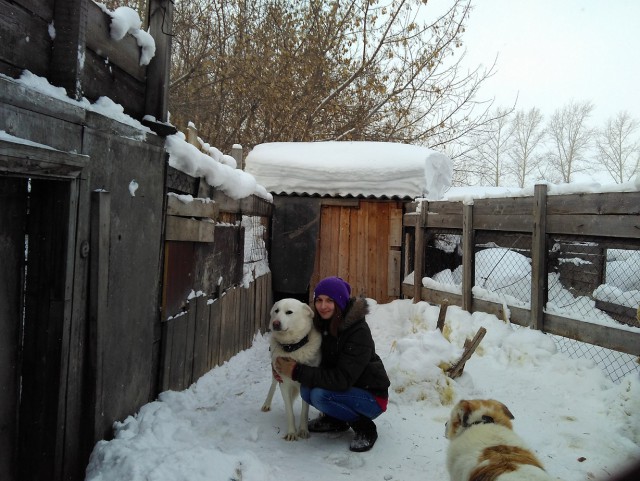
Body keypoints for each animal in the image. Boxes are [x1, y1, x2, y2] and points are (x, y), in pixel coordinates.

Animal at [260, 298, 320, 440]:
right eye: (276, 311)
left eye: (289, 312)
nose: (275, 323)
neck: (291, 348)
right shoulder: (284, 384)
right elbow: (289, 412)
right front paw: (292, 432)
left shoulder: (306, 385)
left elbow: (304, 411)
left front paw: (303, 430)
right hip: (275, 374)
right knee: (272, 386)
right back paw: (267, 403)